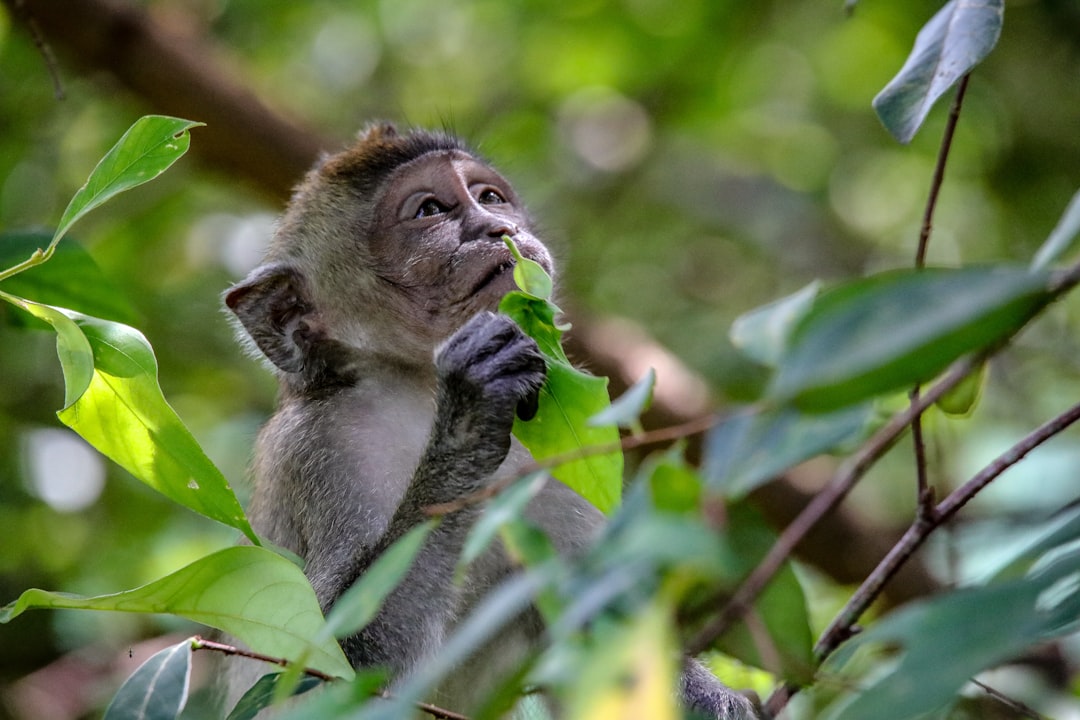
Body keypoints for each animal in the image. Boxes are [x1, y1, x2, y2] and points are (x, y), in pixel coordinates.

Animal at [222, 125, 756, 720]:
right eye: (429, 210)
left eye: (490, 197)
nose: (499, 227)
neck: (417, 396)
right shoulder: (319, 450)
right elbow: (327, 672)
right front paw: (467, 421)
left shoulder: (551, 457)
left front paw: (716, 699)